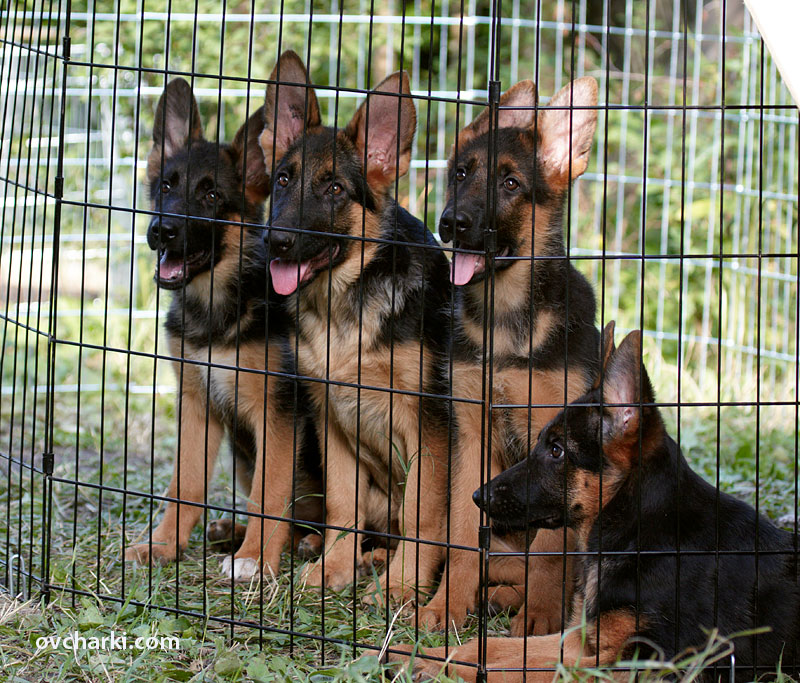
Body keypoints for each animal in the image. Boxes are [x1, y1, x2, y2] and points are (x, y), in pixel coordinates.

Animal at [260, 52, 454, 600]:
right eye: (283, 179)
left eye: (335, 189)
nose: (275, 242)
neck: (342, 304)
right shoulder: (331, 418)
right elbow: (344, 506)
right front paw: (334, 568)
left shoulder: (429, 425)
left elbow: (423, 515)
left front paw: (401, 590)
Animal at [396, 322, 800, 683]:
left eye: (557, 450)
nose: (477, 497)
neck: (640, 531)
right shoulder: (582, 639)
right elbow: (490, 648)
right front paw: (416, 656)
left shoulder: (642, 662)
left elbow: (516, 667)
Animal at [418, 77, 600, 632]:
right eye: (460, 173)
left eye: (512, 184)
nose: (451, 223)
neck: (504, 321)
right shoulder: (471, 436)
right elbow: (461, 536)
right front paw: (446, 607)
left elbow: (548, 549)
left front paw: (537, 622)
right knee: (495, 561)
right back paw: (491, 597)